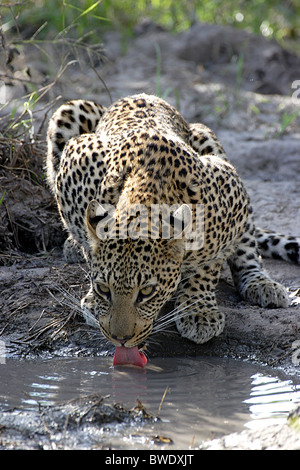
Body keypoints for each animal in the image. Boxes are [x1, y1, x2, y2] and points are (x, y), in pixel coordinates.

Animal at [47, 92, 300, 348]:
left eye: (147, 292)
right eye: (104, 289)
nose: (120, 339)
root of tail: (140, 95)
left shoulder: (230, 186)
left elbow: (209, 265)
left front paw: (199, 310)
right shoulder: (75, 162)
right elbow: (88, 239)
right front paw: (93, 298)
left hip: (208, 139)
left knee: (248, 245)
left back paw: (261, 283)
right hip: (70, 111)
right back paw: (72, 245)